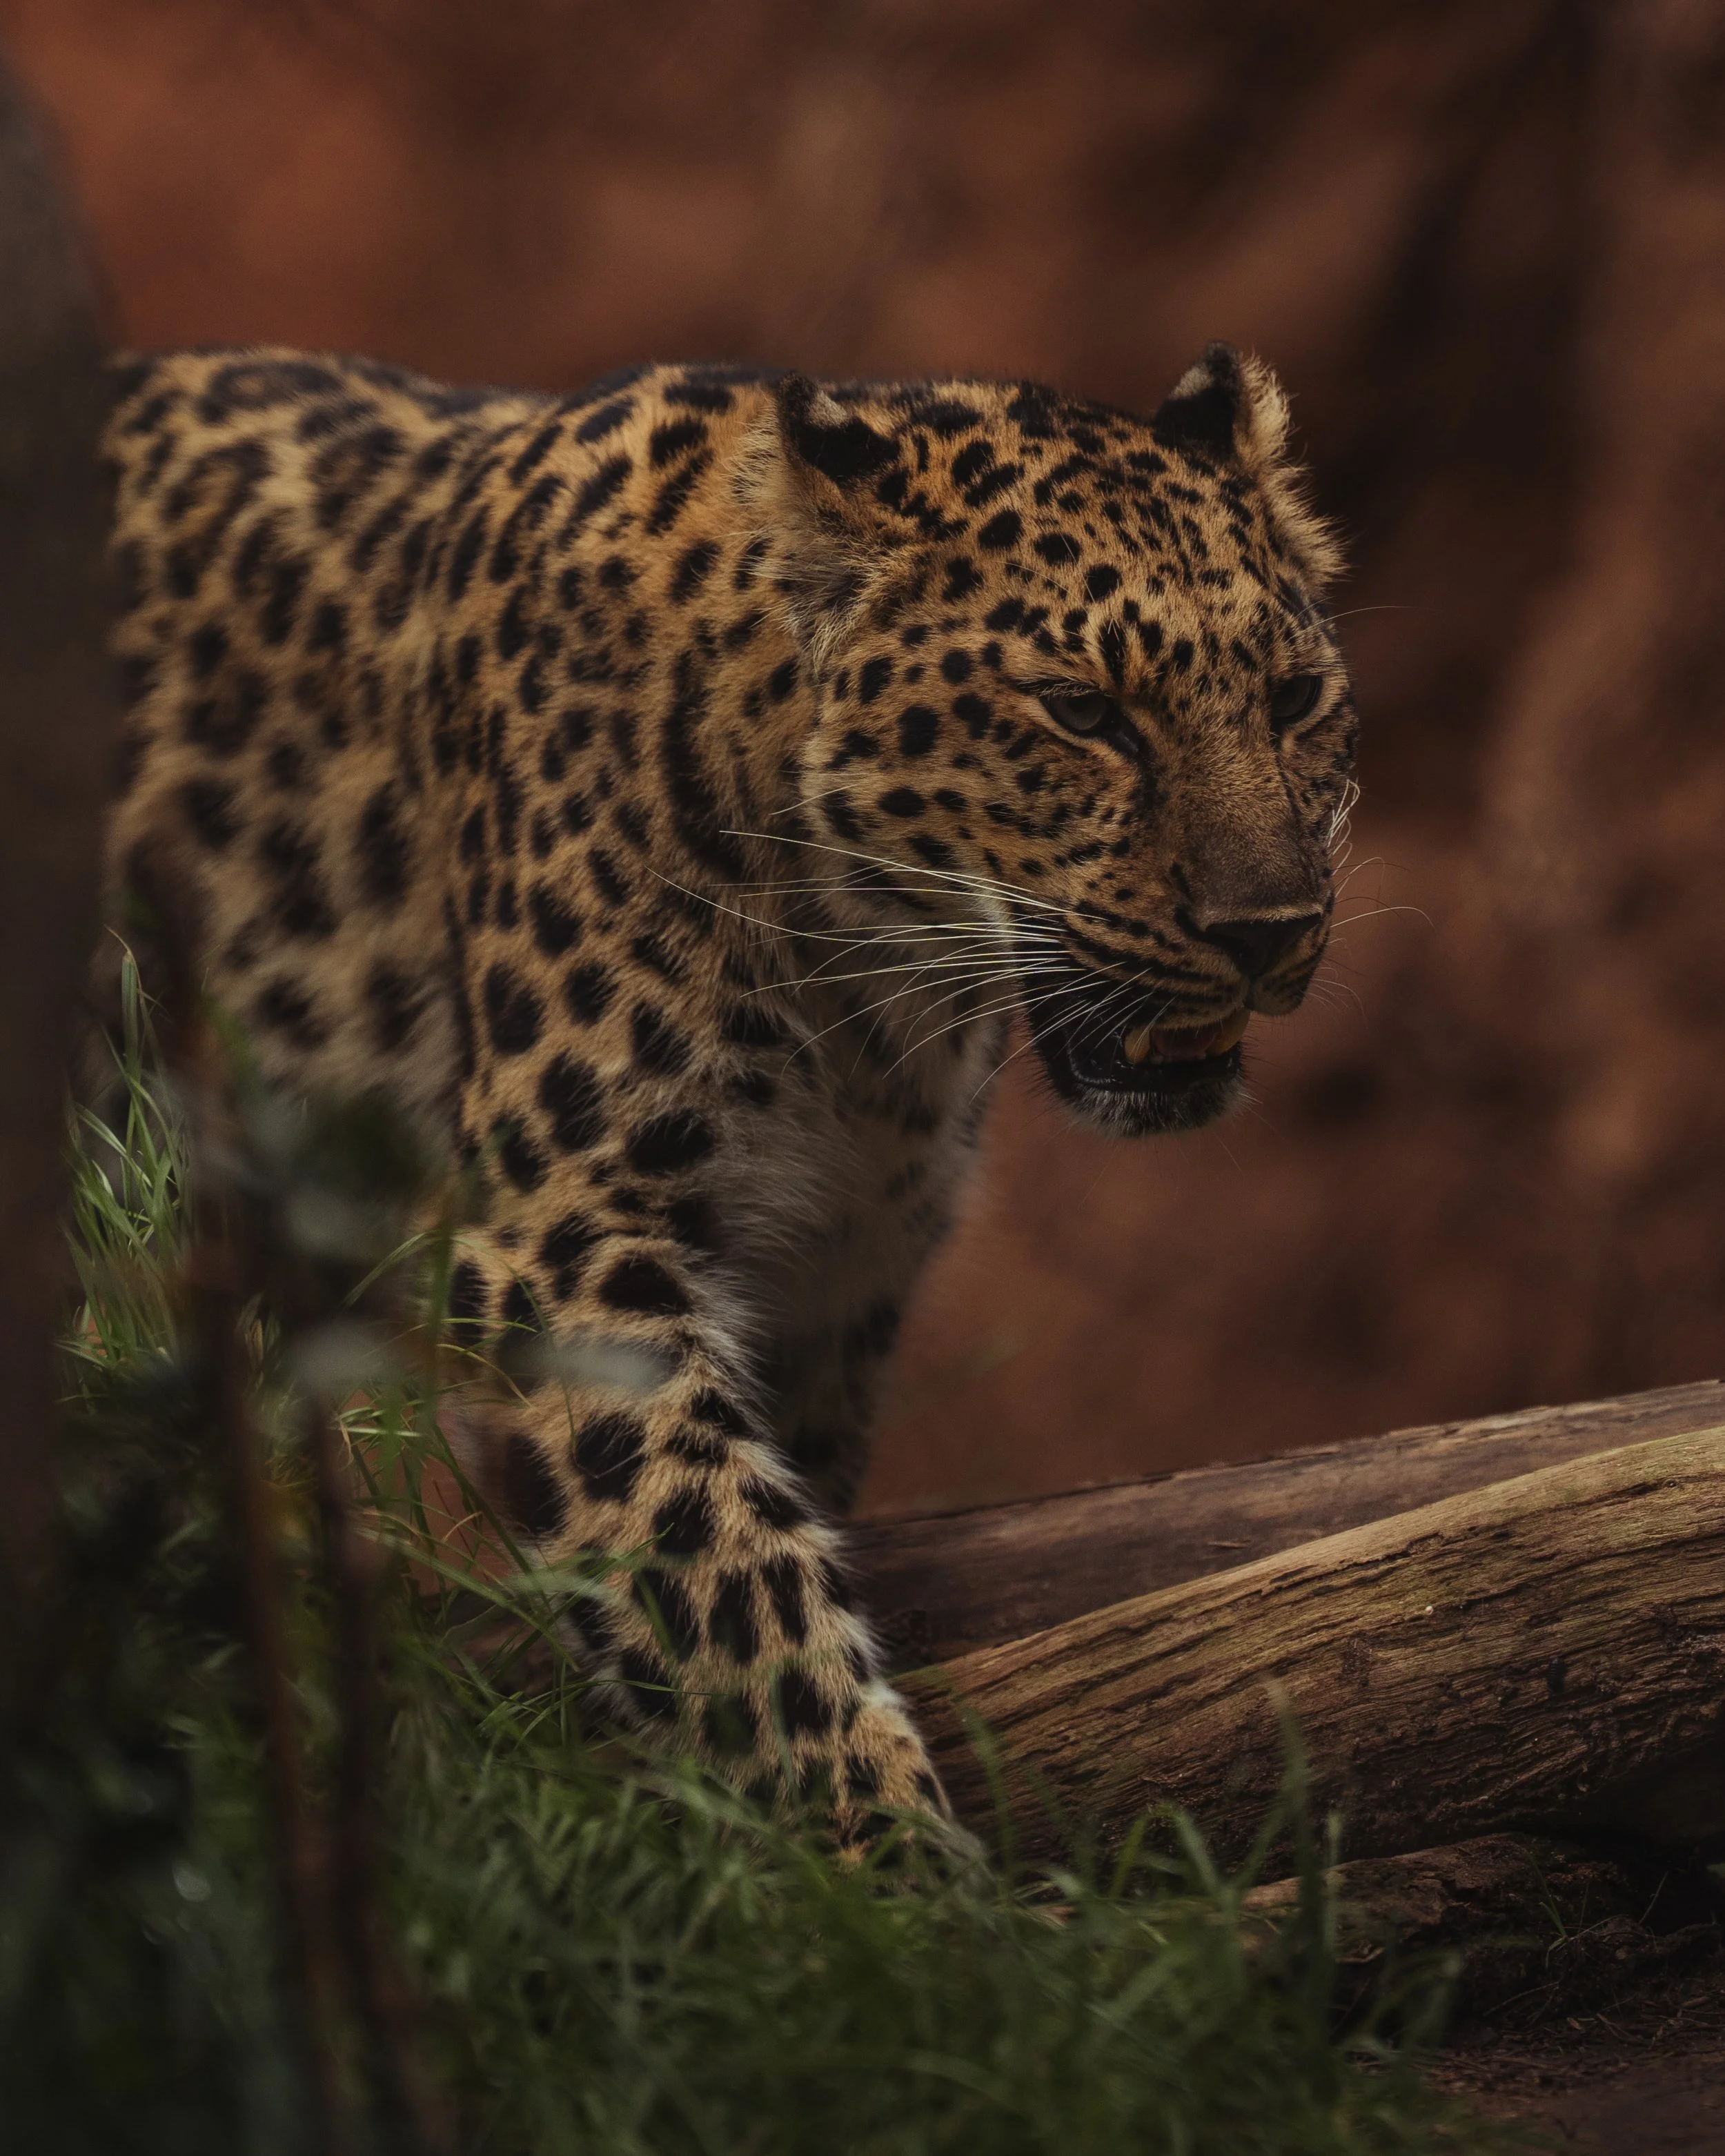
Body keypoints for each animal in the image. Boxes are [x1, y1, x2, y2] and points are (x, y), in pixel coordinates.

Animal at [99, 337, 1356, 1844]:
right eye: (1081, 711)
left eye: (1294, 699)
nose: (1272, 929)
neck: (867, 1003)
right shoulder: (561, 1246)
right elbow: (728, 1582)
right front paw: (893, 1866)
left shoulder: (835, 1272)